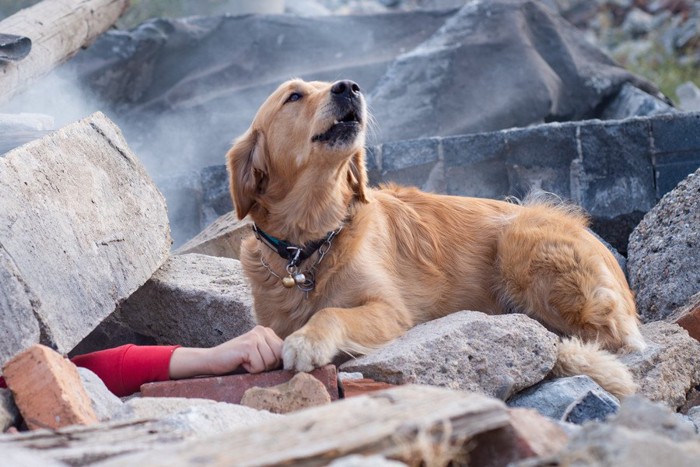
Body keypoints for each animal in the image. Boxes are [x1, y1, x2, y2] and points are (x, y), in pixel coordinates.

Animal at [226, 78, 644, 396]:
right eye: (294, 96)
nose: (348, 87)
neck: (309, 243)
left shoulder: (392, 311)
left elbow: (331, 312)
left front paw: (307, 341)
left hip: (519, 238)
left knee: (607, 337)